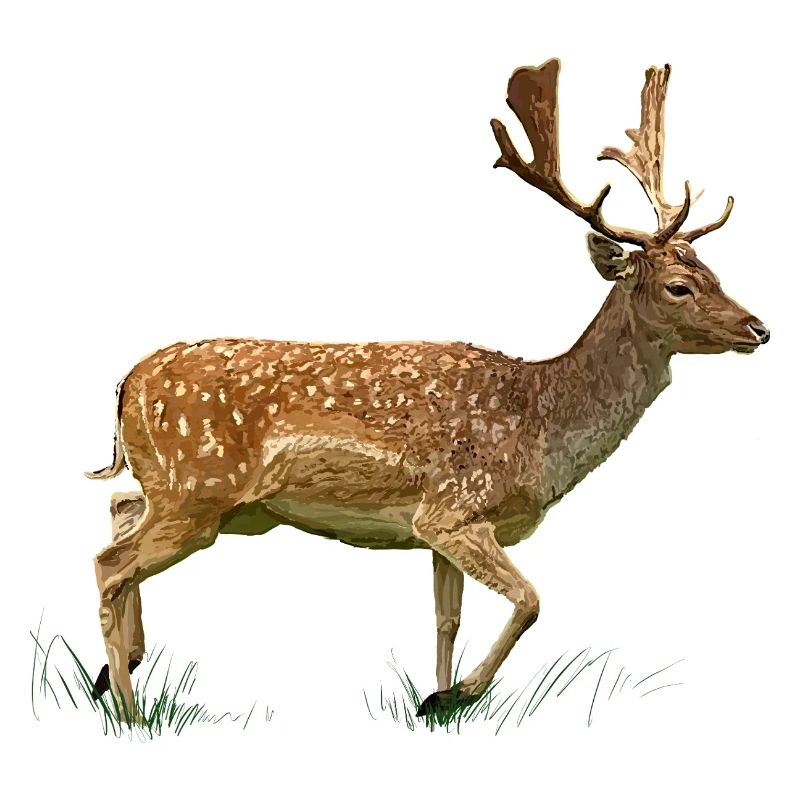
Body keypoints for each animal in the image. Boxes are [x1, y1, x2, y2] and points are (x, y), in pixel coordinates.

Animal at [87, 58, 769, 719]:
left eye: (716, 273)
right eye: (679, 286)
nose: (759, 328)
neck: (539, 421)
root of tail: (125, 384)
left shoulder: (433, 530)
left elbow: (447, 618)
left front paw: (435, 699)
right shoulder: (454, 507)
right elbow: (531, 600)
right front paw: (459, 692)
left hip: (205, 500)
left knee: (118, 512)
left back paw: (115, 673)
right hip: (198, 490)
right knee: (109, 564)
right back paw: (127, 705)